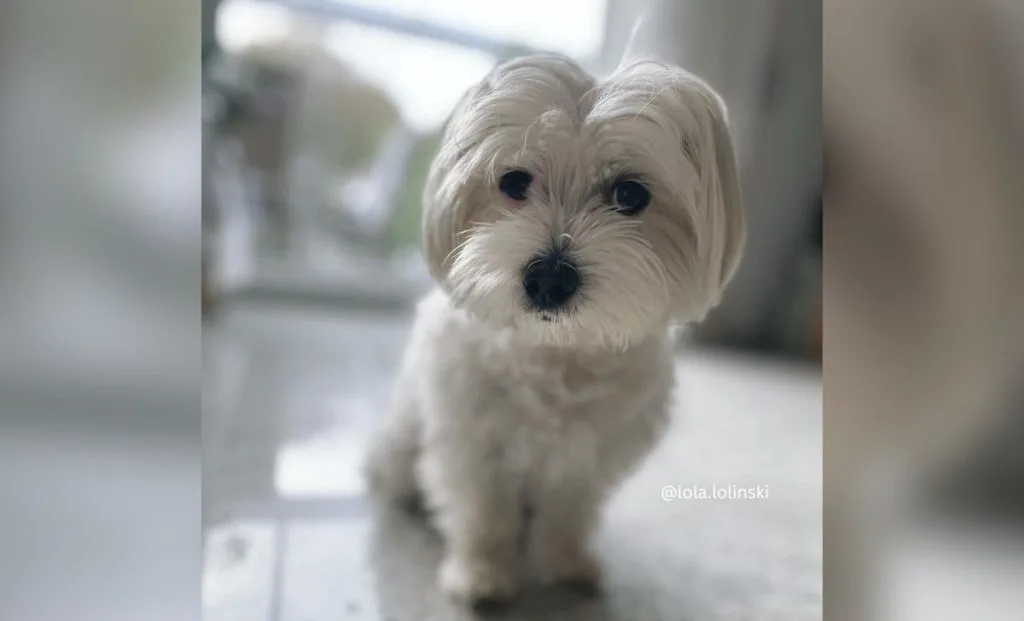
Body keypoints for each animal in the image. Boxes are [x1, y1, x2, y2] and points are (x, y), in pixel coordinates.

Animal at [366, 53, 745, 606]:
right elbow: (482, 508)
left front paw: (566, 562)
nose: (548, 278)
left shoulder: (590, 453)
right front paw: (482, 572)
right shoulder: (471, 434)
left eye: (630, 194)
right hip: (399, 443)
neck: (557, 350)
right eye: (514, 182)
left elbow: (569, 510)